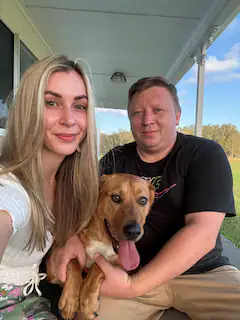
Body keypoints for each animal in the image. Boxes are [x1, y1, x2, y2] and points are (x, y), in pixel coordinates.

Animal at [47, 174, 156, 320]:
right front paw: (70, 300)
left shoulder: (128, 268)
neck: (101, 240)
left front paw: (88, 299)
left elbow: (98, 265)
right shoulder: (52, 271)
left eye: (143, 200)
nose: (133, 231)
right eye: (116, 197)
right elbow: (73, 261)